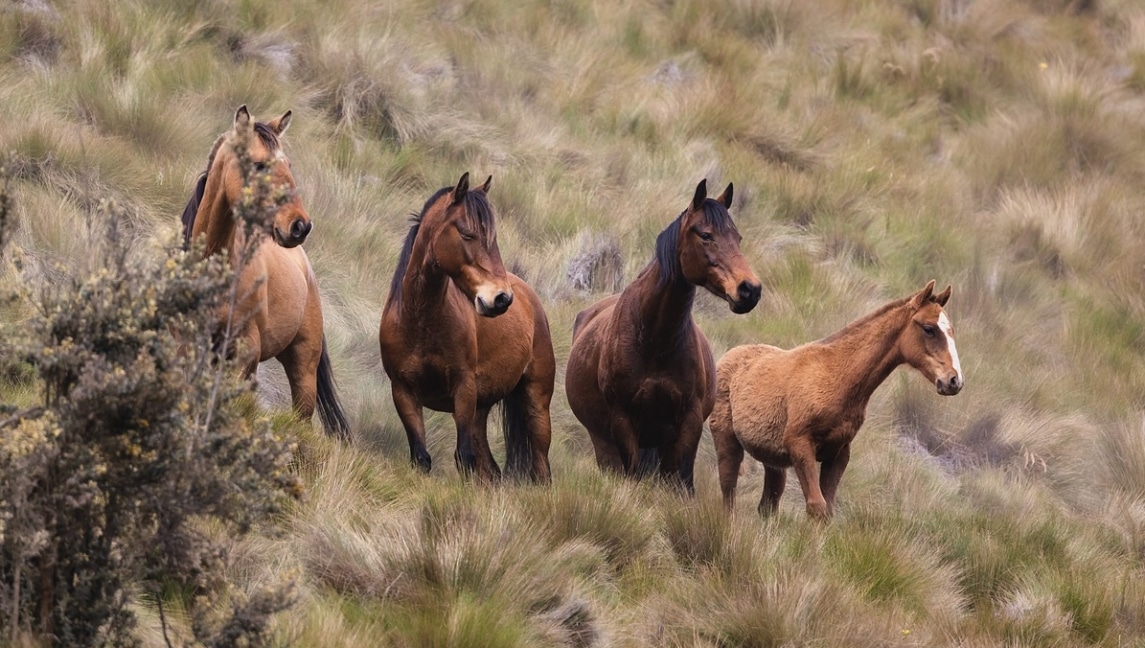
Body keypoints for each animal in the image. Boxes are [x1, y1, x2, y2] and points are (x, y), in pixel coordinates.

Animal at [380, 174, 554, 487]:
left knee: (541, 468)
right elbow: (421, 457)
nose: (501, 299)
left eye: (492, 238)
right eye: (467, 233)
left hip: (536, 402)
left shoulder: (463, 388)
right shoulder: (403, 392)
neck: (420, 323)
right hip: (479, 411)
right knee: (490, 470)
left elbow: (463, 457)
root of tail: (528, 295)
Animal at [567, 177, 764, 492]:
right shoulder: (623, 420)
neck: (655, 341)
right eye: (706, 235)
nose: (750, 290)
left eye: (738, 238)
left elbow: (676, 480)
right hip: (604, 443)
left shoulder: (688, 422)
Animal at [709, 281, 961, 519]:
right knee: (728, 494)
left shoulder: (838, 453)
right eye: (928, 329)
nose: (954, 380)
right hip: (727, 442)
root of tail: (728, 356)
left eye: (951, 331)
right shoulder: (800, 445)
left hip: (773, 460)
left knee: (767, 506)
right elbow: (817, 507)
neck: (837, 377)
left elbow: (827, 509)